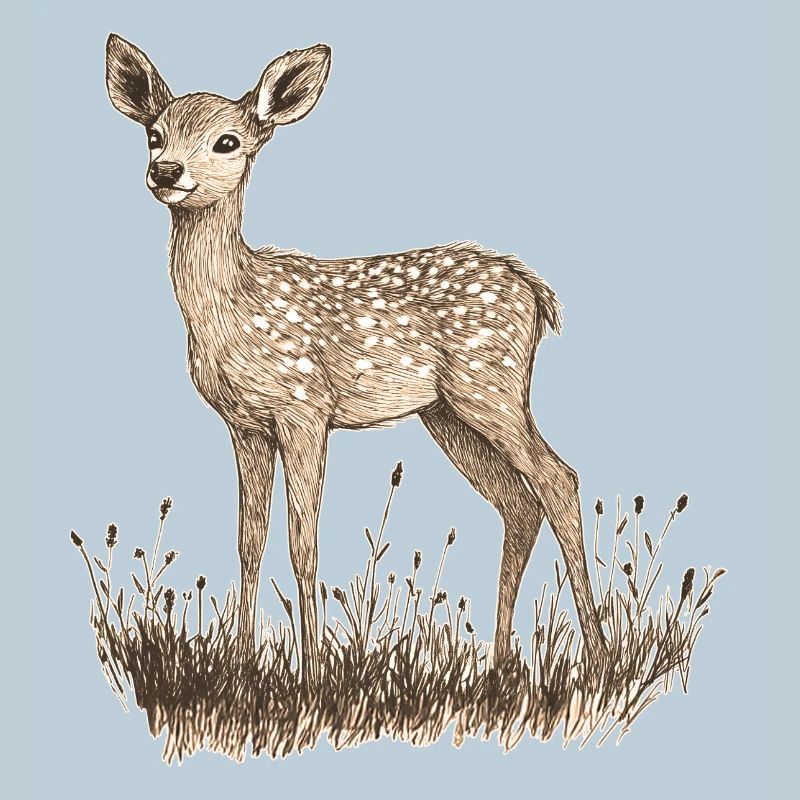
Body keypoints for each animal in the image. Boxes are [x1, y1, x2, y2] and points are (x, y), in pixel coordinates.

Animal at [105, 34, 606, 685]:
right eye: (154, 132)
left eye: (228, 141)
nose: (166, 171)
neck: (233, 307)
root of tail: (533, 289)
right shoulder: (245, 425)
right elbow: (249, 541)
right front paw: (240, 664)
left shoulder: (304, 408)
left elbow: (302, 542)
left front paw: (312, 673)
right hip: (447, 414)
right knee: (519, 504)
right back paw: (501, 664)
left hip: (488, 384)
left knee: (557, 479)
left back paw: (600, 657)